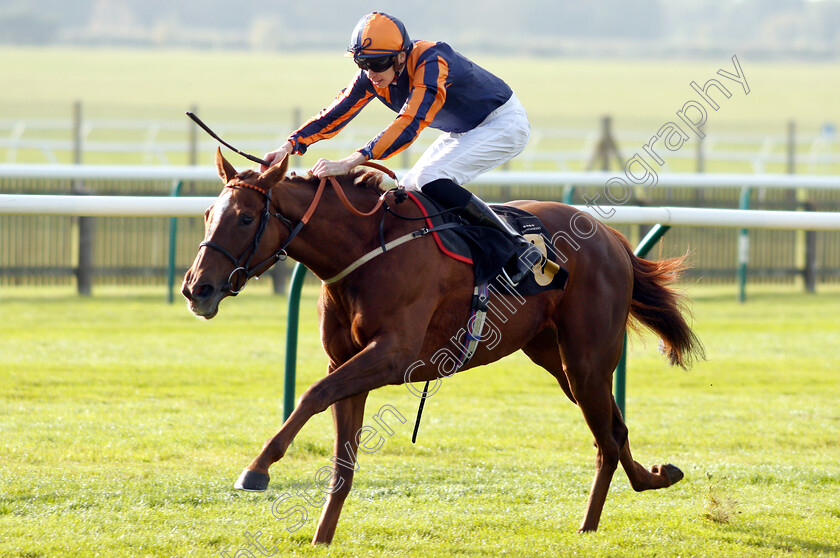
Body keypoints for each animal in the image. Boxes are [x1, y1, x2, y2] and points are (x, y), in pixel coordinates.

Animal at [182, 149, 704, 548]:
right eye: (207, 215)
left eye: (246, 217)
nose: (196, 289)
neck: (364, 251)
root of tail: (611, 237)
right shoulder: (347, 361)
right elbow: (342, 461)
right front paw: (321, 537)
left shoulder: (391, 356)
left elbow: (311, 395)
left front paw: (257, 469)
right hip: (557, 361)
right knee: (614, 430)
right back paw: (656, 477)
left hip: (587, 361)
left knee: (607, 439)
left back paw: (590, 524)